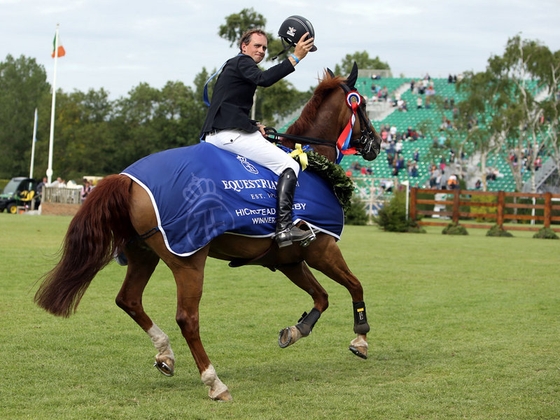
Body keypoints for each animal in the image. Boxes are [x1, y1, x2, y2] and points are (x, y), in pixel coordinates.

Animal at [34, 62, 380, 400]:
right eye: (362, 104)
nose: (375, 144)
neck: (313, 163)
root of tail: (127, 179)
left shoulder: (289, 260)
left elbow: (321, 297)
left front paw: (296, 330)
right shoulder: (322, 248)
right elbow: (355, 285)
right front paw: (360, 339)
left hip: (143, 253)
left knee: (129, 300)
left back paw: (166, 354)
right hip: (189, 259)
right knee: (187, 318)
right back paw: (214, 383)